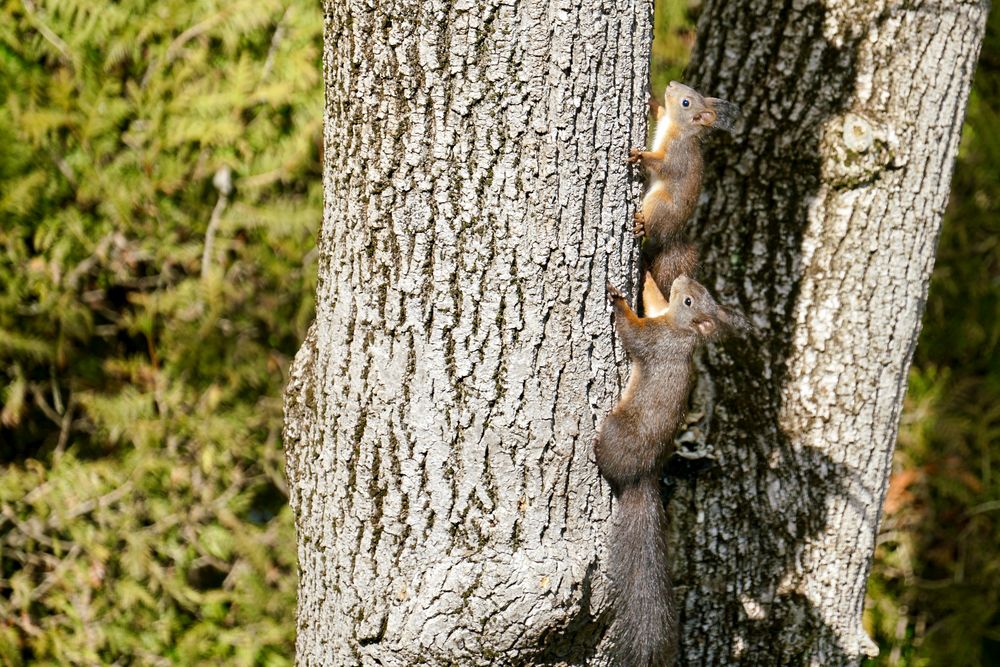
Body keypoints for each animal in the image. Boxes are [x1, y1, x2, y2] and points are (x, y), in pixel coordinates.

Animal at [592, 272, 752, 667]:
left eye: (691, 302)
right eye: (697, 292)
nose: (682, 278)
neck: (682, 333)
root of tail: (642, 477)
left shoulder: (655, 341)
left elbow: (632, 332)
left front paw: (618, 300)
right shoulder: (660, 318)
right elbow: (652, 301)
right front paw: (649, 276)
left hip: (618, 431)